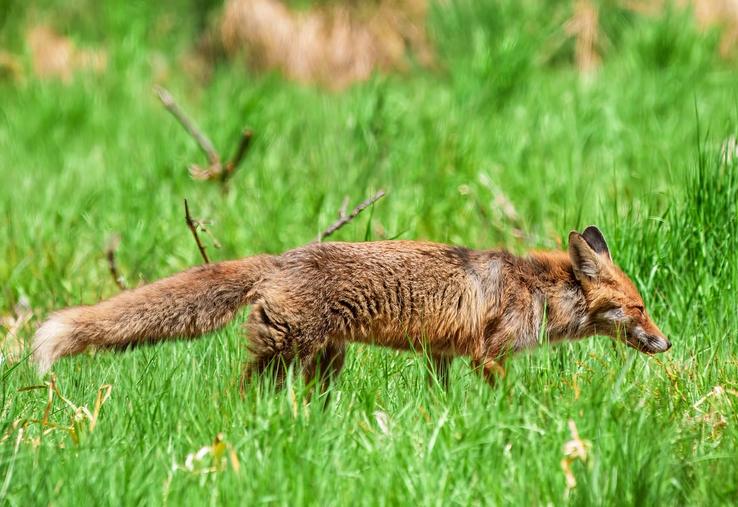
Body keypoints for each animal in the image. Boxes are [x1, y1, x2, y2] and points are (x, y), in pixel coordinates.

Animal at [32, 226, 670, 391]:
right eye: (638, 307)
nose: (666, 342)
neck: (536, 291)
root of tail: (281, 257)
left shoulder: (442, 354)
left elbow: (442, 398)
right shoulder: (489, 354)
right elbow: (509, 394)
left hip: (326, 360)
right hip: (286, 351)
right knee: (238, 393)